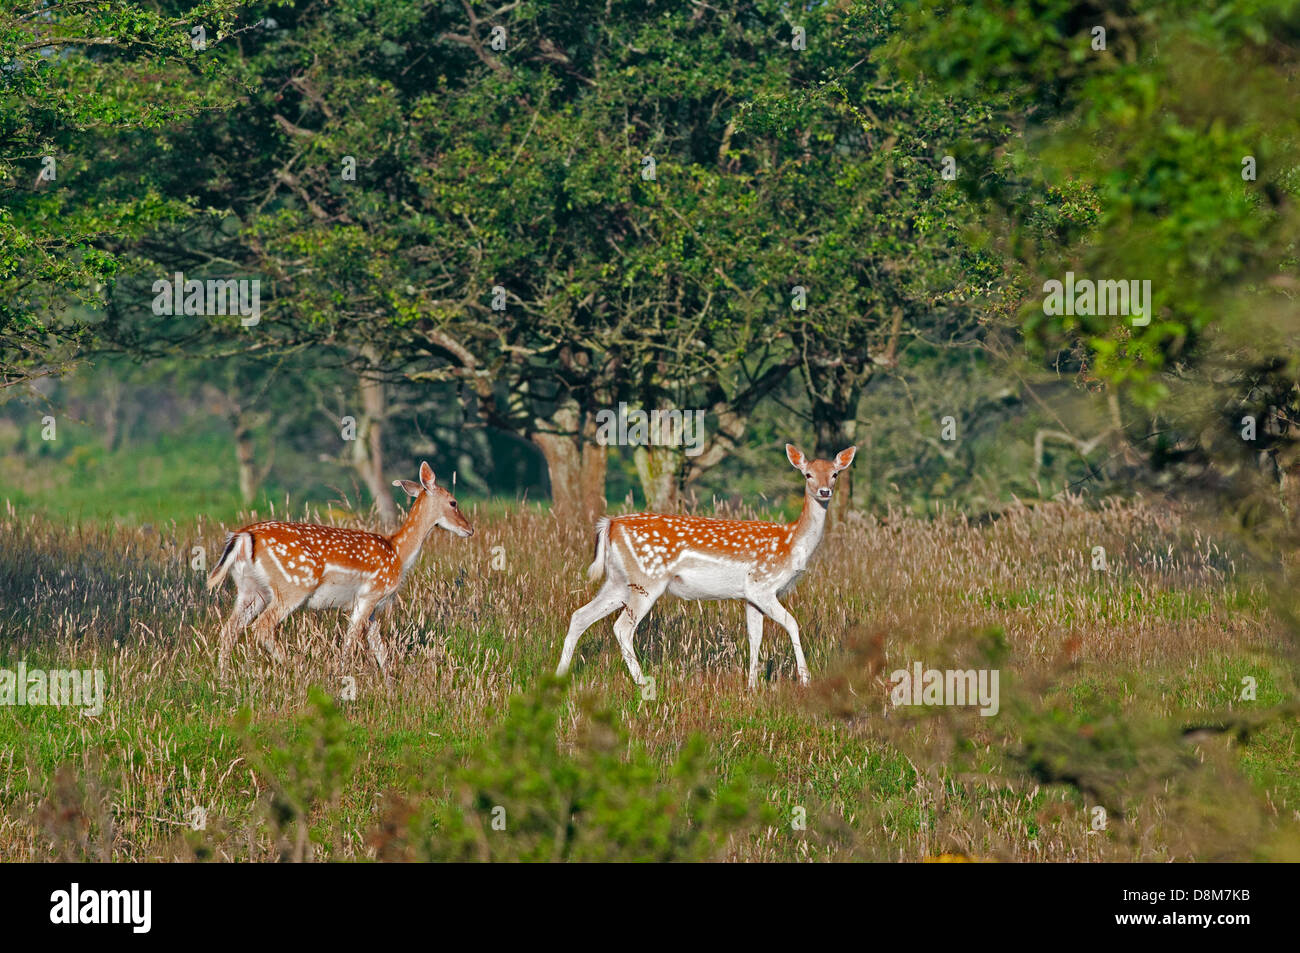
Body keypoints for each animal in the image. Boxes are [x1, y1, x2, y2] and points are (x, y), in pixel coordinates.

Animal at [200, 460, 470, 670]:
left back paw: (223, 679)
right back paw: (296, 668)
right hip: (292, 585)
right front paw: (341, 676)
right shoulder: (370, 594)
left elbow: (380, 651)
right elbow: (351, 642)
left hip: (250, 589)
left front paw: (391, 685)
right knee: (261, 627)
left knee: (229, 630)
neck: (398, 554)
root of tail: (243, 536)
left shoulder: (373, 607)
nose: (469, 529)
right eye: (453, 502)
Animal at [556, 442, 852, 686]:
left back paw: (560, 675)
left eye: (835, 474)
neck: (790, 543)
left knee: (579, 616)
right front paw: (805, 679)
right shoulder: (762, 585)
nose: (825, 491)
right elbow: (792, 623)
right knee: (622, 628)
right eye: (808, 474)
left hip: (618, 581)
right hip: (647, 579)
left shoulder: (750, 595)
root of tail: (610, 524)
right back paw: (643, 683)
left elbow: (754, 637)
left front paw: (752, 687)